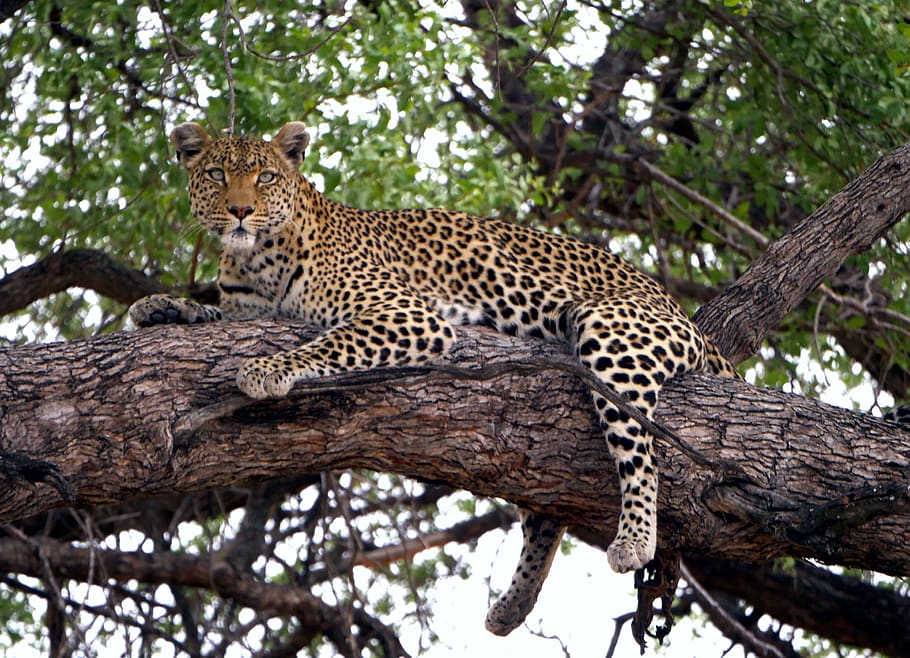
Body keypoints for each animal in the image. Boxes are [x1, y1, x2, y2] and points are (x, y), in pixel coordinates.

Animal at [129, 121, 737, 636]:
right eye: (215, 174)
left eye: (266, 177)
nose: (238, 211)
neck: (254, 257)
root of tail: (677, 306)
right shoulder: (246, 313)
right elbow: (213, 314)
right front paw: (160, 306)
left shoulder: (404, 314)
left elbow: (325, 342)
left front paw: (264, 368)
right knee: (548, 514)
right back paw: (512, 605)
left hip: (612, 332)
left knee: (640, 450)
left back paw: (633, 538)